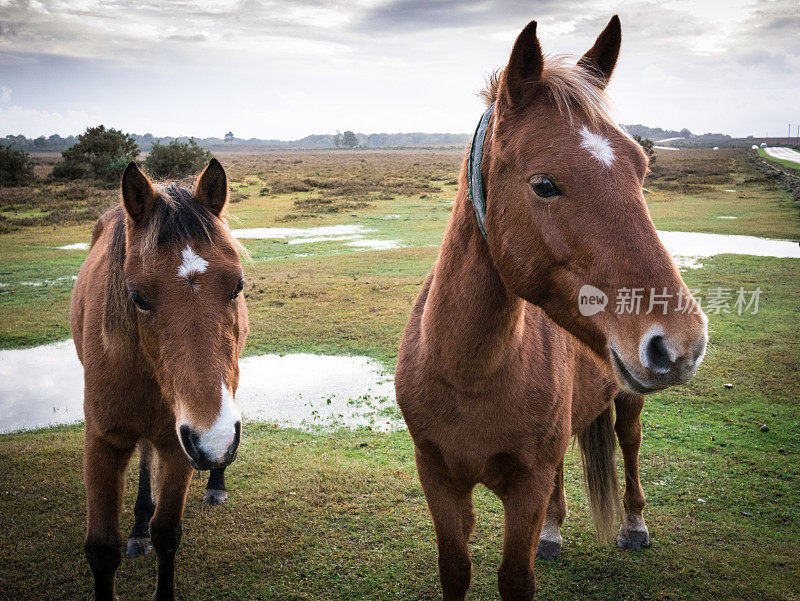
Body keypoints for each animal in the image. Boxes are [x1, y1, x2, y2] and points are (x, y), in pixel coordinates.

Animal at [73, 159, 252, 600]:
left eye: (237, 286)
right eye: (137, 297)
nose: (214, 441)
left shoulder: (178, 444)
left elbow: (167, 533)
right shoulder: (102, 443)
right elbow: (101, 548)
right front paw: (136, 529)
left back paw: (215, 484)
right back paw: (138, 525)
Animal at [394, 15, 708, 600]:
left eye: (642, 167)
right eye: (544, 184)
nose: (683, 343)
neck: (469, 373)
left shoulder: (526, 487)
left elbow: (516, 578)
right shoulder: (439, 478)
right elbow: (455, 569)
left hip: (628, 400)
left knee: (629, 444)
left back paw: (634, 525)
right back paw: (555, 532)